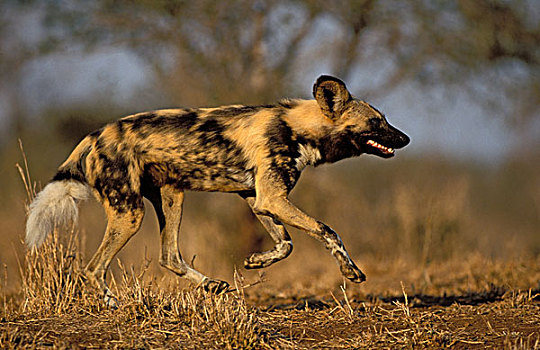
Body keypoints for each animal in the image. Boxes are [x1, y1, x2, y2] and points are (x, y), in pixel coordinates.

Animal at [25, 75, 410, 304]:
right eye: (376, 122)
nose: (406, 138)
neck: (296, 127)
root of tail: (94, 136)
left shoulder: (259, 199)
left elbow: (286, 244)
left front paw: (257, 261)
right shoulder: (273, 198)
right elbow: (328, 231)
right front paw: (351, 271)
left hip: (172, 197)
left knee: (169, 256)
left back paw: (212, 285)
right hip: (130, 213)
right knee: (94, 268)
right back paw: (112, 303)